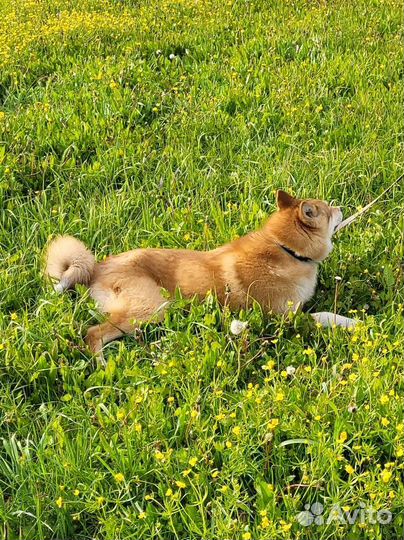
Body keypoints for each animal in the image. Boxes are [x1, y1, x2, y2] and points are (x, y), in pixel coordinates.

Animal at [45, 190, 346, 354]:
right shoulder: (284, 316)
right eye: (328, 211)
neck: (285, 249)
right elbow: (325, 315)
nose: (342, 207)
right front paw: (351, 322)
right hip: (151, 307)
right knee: (93, 333)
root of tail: (97, 268)